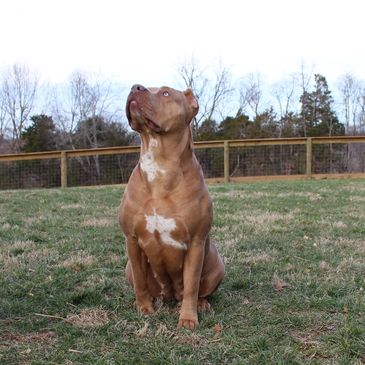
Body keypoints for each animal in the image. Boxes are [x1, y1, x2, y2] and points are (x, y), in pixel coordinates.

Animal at [118, 84, 223, 328]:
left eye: (166, 93)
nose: (135, 87)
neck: (159, 166)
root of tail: (170, 295)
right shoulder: (132, 240)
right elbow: (140, 281)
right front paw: (144, 308)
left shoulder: (196, 243)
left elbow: (192, 285)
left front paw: (188, 318)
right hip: (128, 268)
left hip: (217, 262)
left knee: (198, 290)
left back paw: (201, 304)